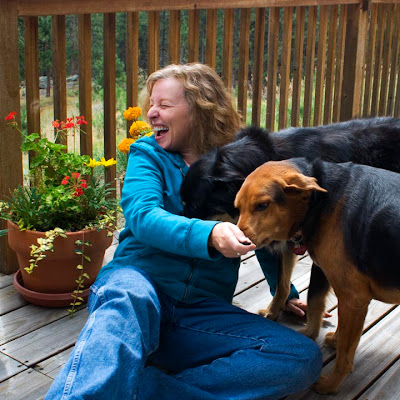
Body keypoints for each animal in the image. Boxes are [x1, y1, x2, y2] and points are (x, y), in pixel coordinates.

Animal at [234, 159, 400, 394]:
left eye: (263, 206)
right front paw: (333, 339)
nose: (239, 242)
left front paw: (330, 384)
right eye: (237, 209)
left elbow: (344, 357)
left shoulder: (353, 297)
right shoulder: (341, 289)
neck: (319, 202)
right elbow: (327, 314)